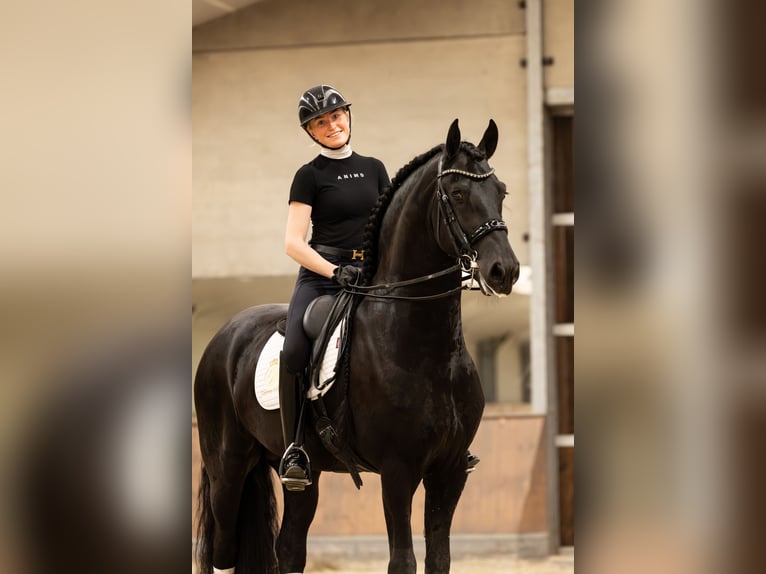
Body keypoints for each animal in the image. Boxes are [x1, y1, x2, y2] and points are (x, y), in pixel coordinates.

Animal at [195, 119, 524, 572]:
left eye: (502, 191)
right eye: (457, 193)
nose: (504, 271)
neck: (427, 350)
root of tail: (223, 336)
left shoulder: (450, 469)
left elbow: (439, 558)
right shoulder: (398, 470)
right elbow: (402, 560)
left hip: (301, 475)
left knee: (289, 549)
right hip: (227, 468)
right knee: (222, 549)